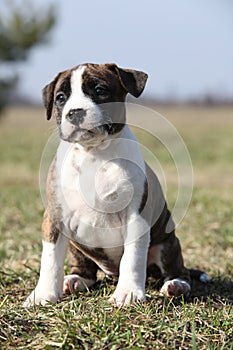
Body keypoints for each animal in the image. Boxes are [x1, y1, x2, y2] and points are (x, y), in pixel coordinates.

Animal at [22, 63, 208, 306]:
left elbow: (132, 258)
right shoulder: (55, 217)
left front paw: (128, 293)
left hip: (167, 242)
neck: (94, 153)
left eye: (100, 90)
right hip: (76, 245)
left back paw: (176, 285)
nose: (74, 112)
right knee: (86, 269)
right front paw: (42, 295)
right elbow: (50, 259)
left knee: (177, 269)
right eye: (61, 98)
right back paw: (74, 280)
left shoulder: (136, 217)